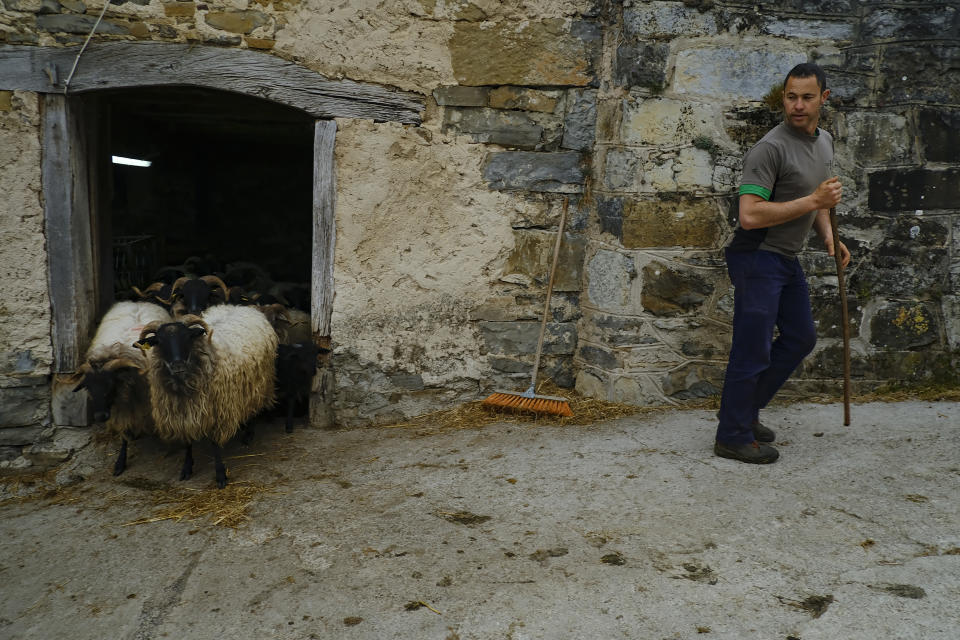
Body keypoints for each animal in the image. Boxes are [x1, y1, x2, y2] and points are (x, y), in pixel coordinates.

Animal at [135, 304, 278, 490]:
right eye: (159, 341)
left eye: (187, 337)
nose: (177, 365)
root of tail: (244, 307)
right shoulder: (182, 414)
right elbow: (187, 442)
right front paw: (186, 468)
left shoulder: (217, 412)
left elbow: (215, 445)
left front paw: (220, 475)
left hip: (257, 384)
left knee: (254, 406)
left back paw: (248, 434)